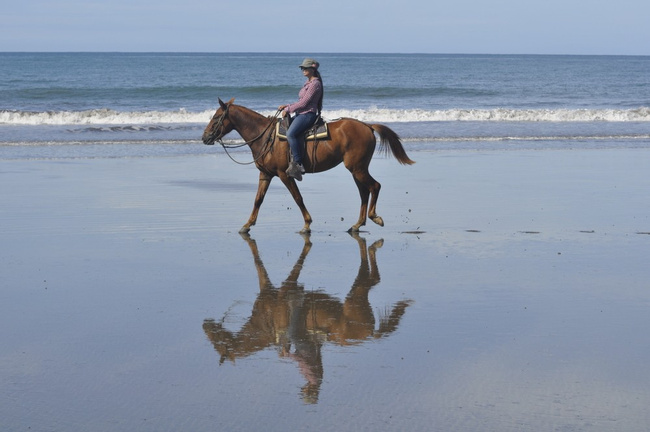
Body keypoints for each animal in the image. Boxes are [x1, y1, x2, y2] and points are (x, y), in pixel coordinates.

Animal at [200, 98, 412, 235]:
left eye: (216, 117)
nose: (205, 137)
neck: (265, 136)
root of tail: (368, 126)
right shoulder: (265, 175)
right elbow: (258, 200)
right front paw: (247, 224)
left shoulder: (284, 174)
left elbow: (297, 197)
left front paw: (307, 225)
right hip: (356, 169)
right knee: (364, 192)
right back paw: (357, 224)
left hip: (357, 168)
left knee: (374, 186)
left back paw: (374, 217)